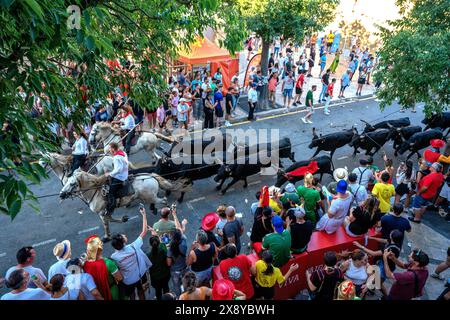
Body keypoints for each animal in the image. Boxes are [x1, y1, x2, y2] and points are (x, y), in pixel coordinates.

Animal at [59, 170, 188, 240]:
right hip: (148, 196)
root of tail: (151, 176)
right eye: (66, 182)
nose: (61, 195)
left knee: (164, 200)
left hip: (150, 196)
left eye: (72, 183)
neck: (95, 191)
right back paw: (153, 209)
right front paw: (124, 219)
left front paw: (107, 237)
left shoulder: (102, 212)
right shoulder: (107, 211)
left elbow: (106, 222)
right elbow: (110, 219)